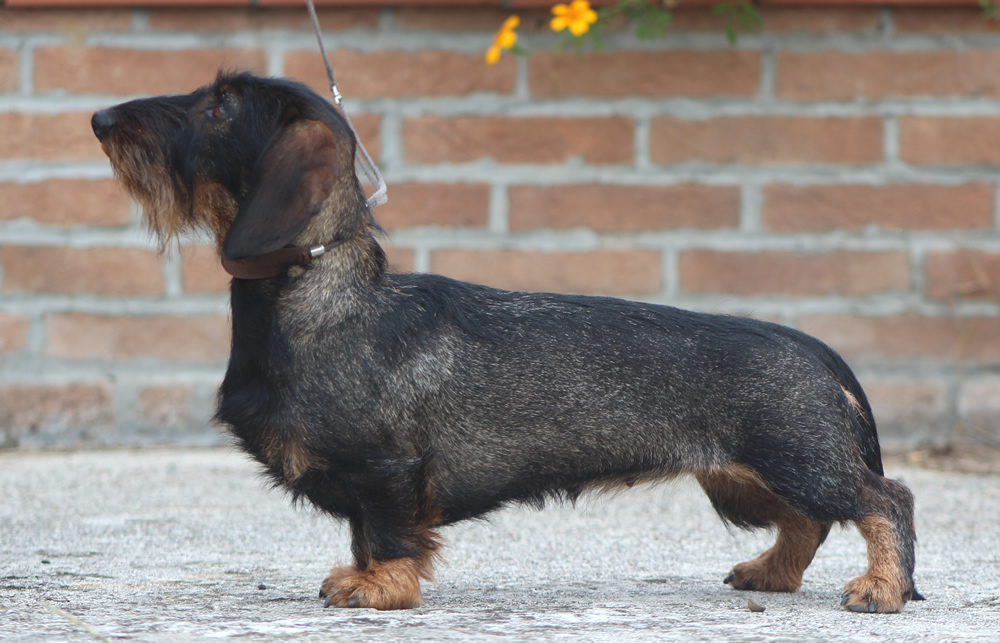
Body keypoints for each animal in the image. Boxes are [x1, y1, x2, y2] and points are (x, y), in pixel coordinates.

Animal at [92, 70, 920, 612]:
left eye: (220, 105)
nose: (100, 119)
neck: (324, 297)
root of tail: (814, 349)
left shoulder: (386, 469)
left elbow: (387, 532)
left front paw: (379, 587)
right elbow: (362, 532)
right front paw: (358, 574)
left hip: (796, 458)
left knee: (883, 499)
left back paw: (881, 587)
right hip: (745, 478)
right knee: (810, 520)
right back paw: (772, 572)